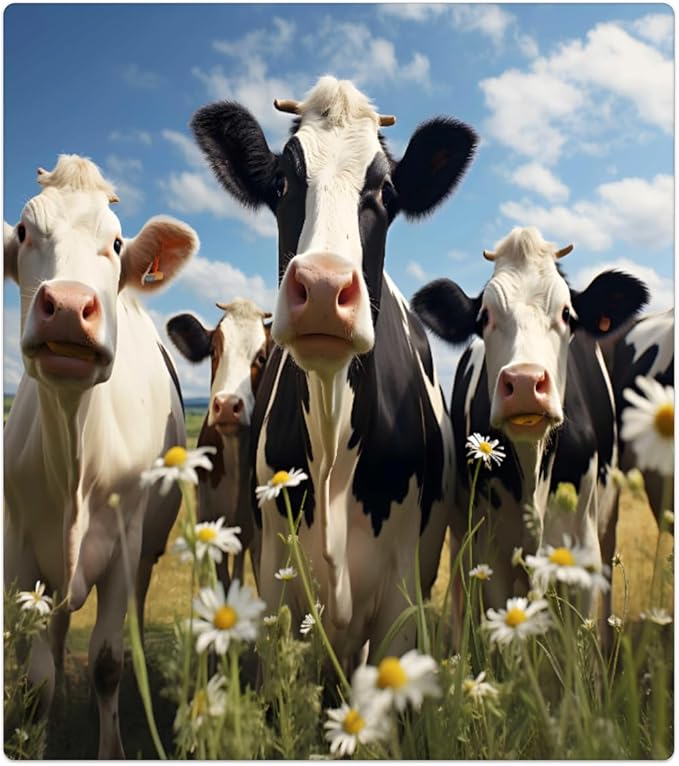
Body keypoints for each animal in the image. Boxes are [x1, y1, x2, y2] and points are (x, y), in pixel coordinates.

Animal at [3, 155, 199, 758]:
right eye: (24, 233)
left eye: (115, 243)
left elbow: (108, 661)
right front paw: (35, 735)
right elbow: (37, 679)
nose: (68, 307)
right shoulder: (20, 551)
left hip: (146, 551)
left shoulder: (124, 542)